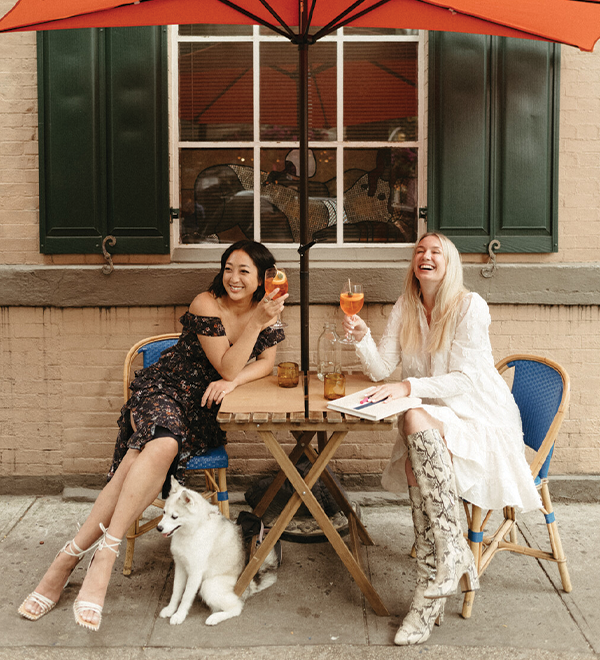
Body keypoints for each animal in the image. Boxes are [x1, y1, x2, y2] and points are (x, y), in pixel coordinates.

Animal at [157, 476, 279, 625]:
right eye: (164, 512)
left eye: (174, 517)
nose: (159, 528)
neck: (193, 530)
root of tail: (248, 587)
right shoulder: (180, 566)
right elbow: (176, 592)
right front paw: (170, 609)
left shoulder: (195, 573)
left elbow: (185, 597)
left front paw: (179, 615)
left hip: (208, 586)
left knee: (237, 607)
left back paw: (215, 618)